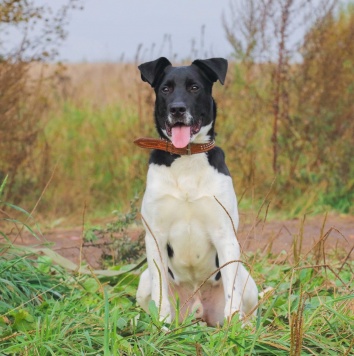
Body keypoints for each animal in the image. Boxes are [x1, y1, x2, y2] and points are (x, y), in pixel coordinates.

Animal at [136, 56, 258, 326]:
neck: (186, 158)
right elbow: (161, 295)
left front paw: (234, 331)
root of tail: (198, 308)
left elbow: (232, 295)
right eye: (165, 89)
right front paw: (162, 329)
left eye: (194, 87)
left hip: (248, 281)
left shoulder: (225, 235)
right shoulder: (155, 236)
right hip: (143, 281)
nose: (177, 110)